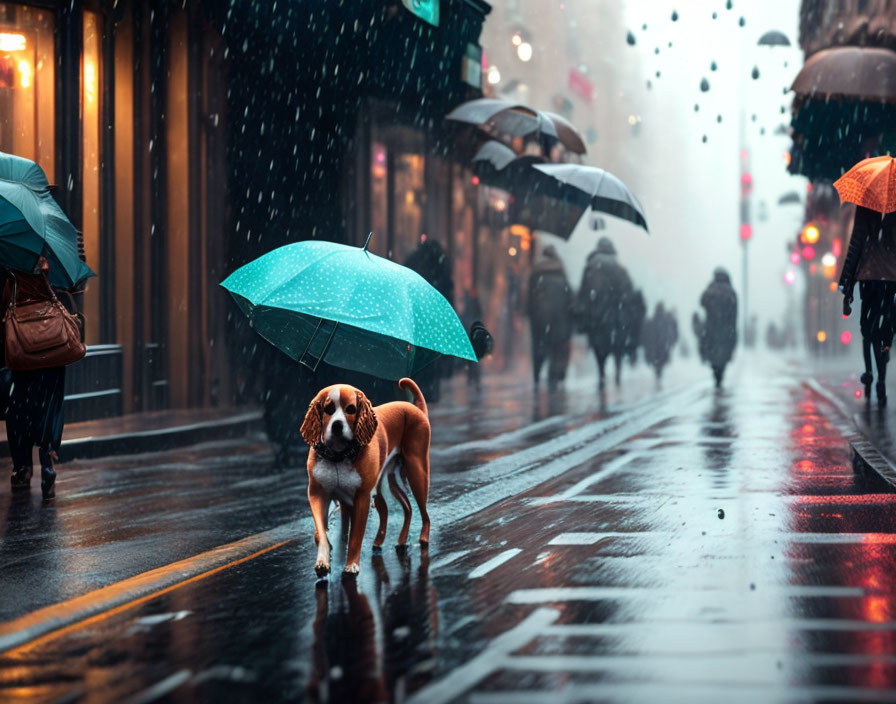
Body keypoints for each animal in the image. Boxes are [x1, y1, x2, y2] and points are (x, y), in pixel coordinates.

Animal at [300, 376, 432, 576]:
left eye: (351, 409)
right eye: (328, 409)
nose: (337, 425)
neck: (338, 456)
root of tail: (417, 409)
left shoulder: (361, 498)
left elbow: (356, 536)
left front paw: (351, 565)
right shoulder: (317, 494)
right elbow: (321, 532)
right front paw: (323, 560)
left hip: (417, 473)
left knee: (424, 512)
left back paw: (423, 538)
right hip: (385, 485)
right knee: (405, 507)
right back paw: (394, 541)